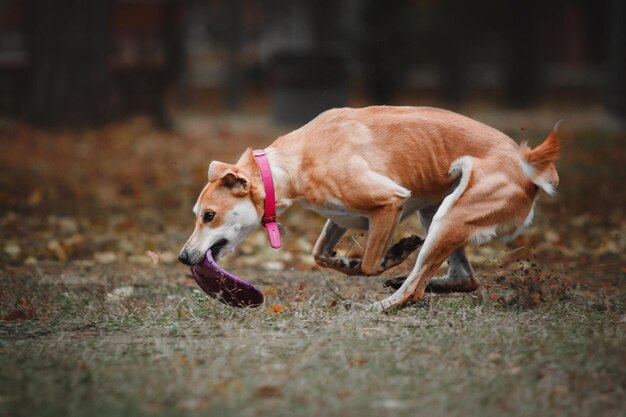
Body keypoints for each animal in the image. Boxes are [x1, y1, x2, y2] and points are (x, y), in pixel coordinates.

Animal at [178, 105, 560, 310]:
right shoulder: (342, 217)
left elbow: (371, 264)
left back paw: (383, 304)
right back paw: (419, 283)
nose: (183, 257)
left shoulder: (389, 203)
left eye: (208, 215)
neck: (293, 162)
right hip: (437, 212)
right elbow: (322, 254)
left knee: (415, 288)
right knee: (465, 279)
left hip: (449, 217)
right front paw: (345, 261)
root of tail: (530, 165)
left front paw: (395, 253)